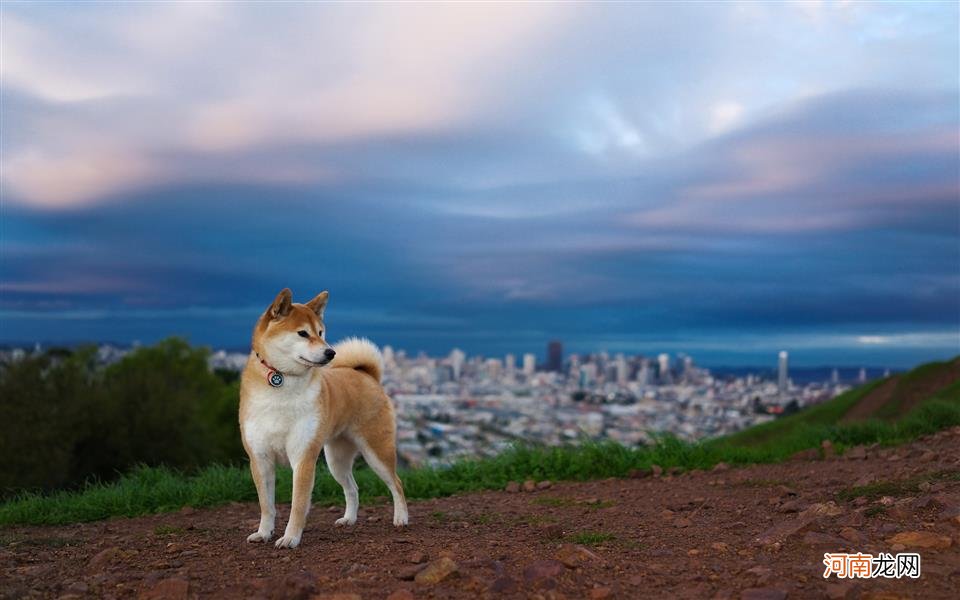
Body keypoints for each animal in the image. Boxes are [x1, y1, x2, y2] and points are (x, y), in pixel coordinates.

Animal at [242, 290, 406, 548]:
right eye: (302, 333)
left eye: (320, 333)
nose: (331, 352)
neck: (282, 380)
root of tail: (367, 375)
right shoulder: (260, 458)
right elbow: (266, 505)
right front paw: (264, 533)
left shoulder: (302, 457)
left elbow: (298, 505)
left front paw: (290, 538)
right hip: (336, 460)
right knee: (352, 488)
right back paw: (349, 519)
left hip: (377, 452)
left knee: (396, 484)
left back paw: (401, 518)